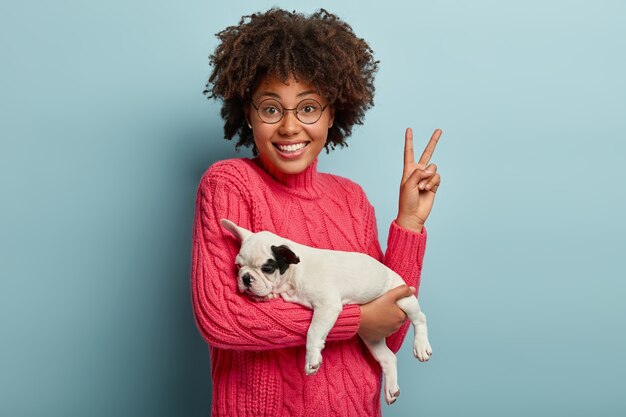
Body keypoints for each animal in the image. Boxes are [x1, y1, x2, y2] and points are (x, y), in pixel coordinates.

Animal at [222, 218, 432, 404]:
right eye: (238, 266)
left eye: (267, 268)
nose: (246, 278)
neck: (294, 274)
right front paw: (267, 296)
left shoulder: (327, 305)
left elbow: (313, 332)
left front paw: (312, 359)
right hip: (371, 337)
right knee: (388, 358)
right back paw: (391, 389)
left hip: (404, 299)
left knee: (420, 318)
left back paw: (421, 346)